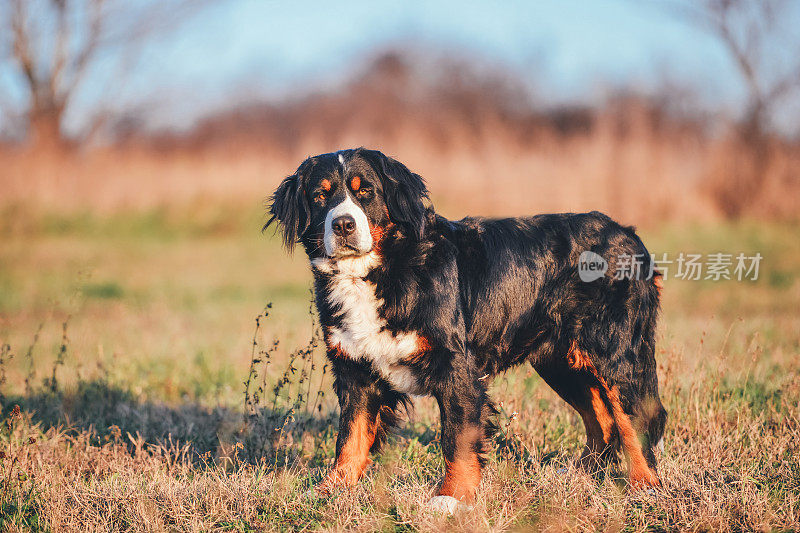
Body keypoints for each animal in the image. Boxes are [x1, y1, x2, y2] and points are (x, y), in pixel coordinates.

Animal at [266, 147, 664, 508]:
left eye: (365, 192)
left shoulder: (455, 367)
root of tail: (629, 235)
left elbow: (456, 439)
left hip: (613, 350)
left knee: (634, 417)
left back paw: (645, 487)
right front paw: (330, 491)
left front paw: (451, 498)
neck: (380, 271)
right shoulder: (354, 370)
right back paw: (581, 474)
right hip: (560, 361)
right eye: (320, 196)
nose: (343, 224)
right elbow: (350, 437)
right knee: (601, 417)